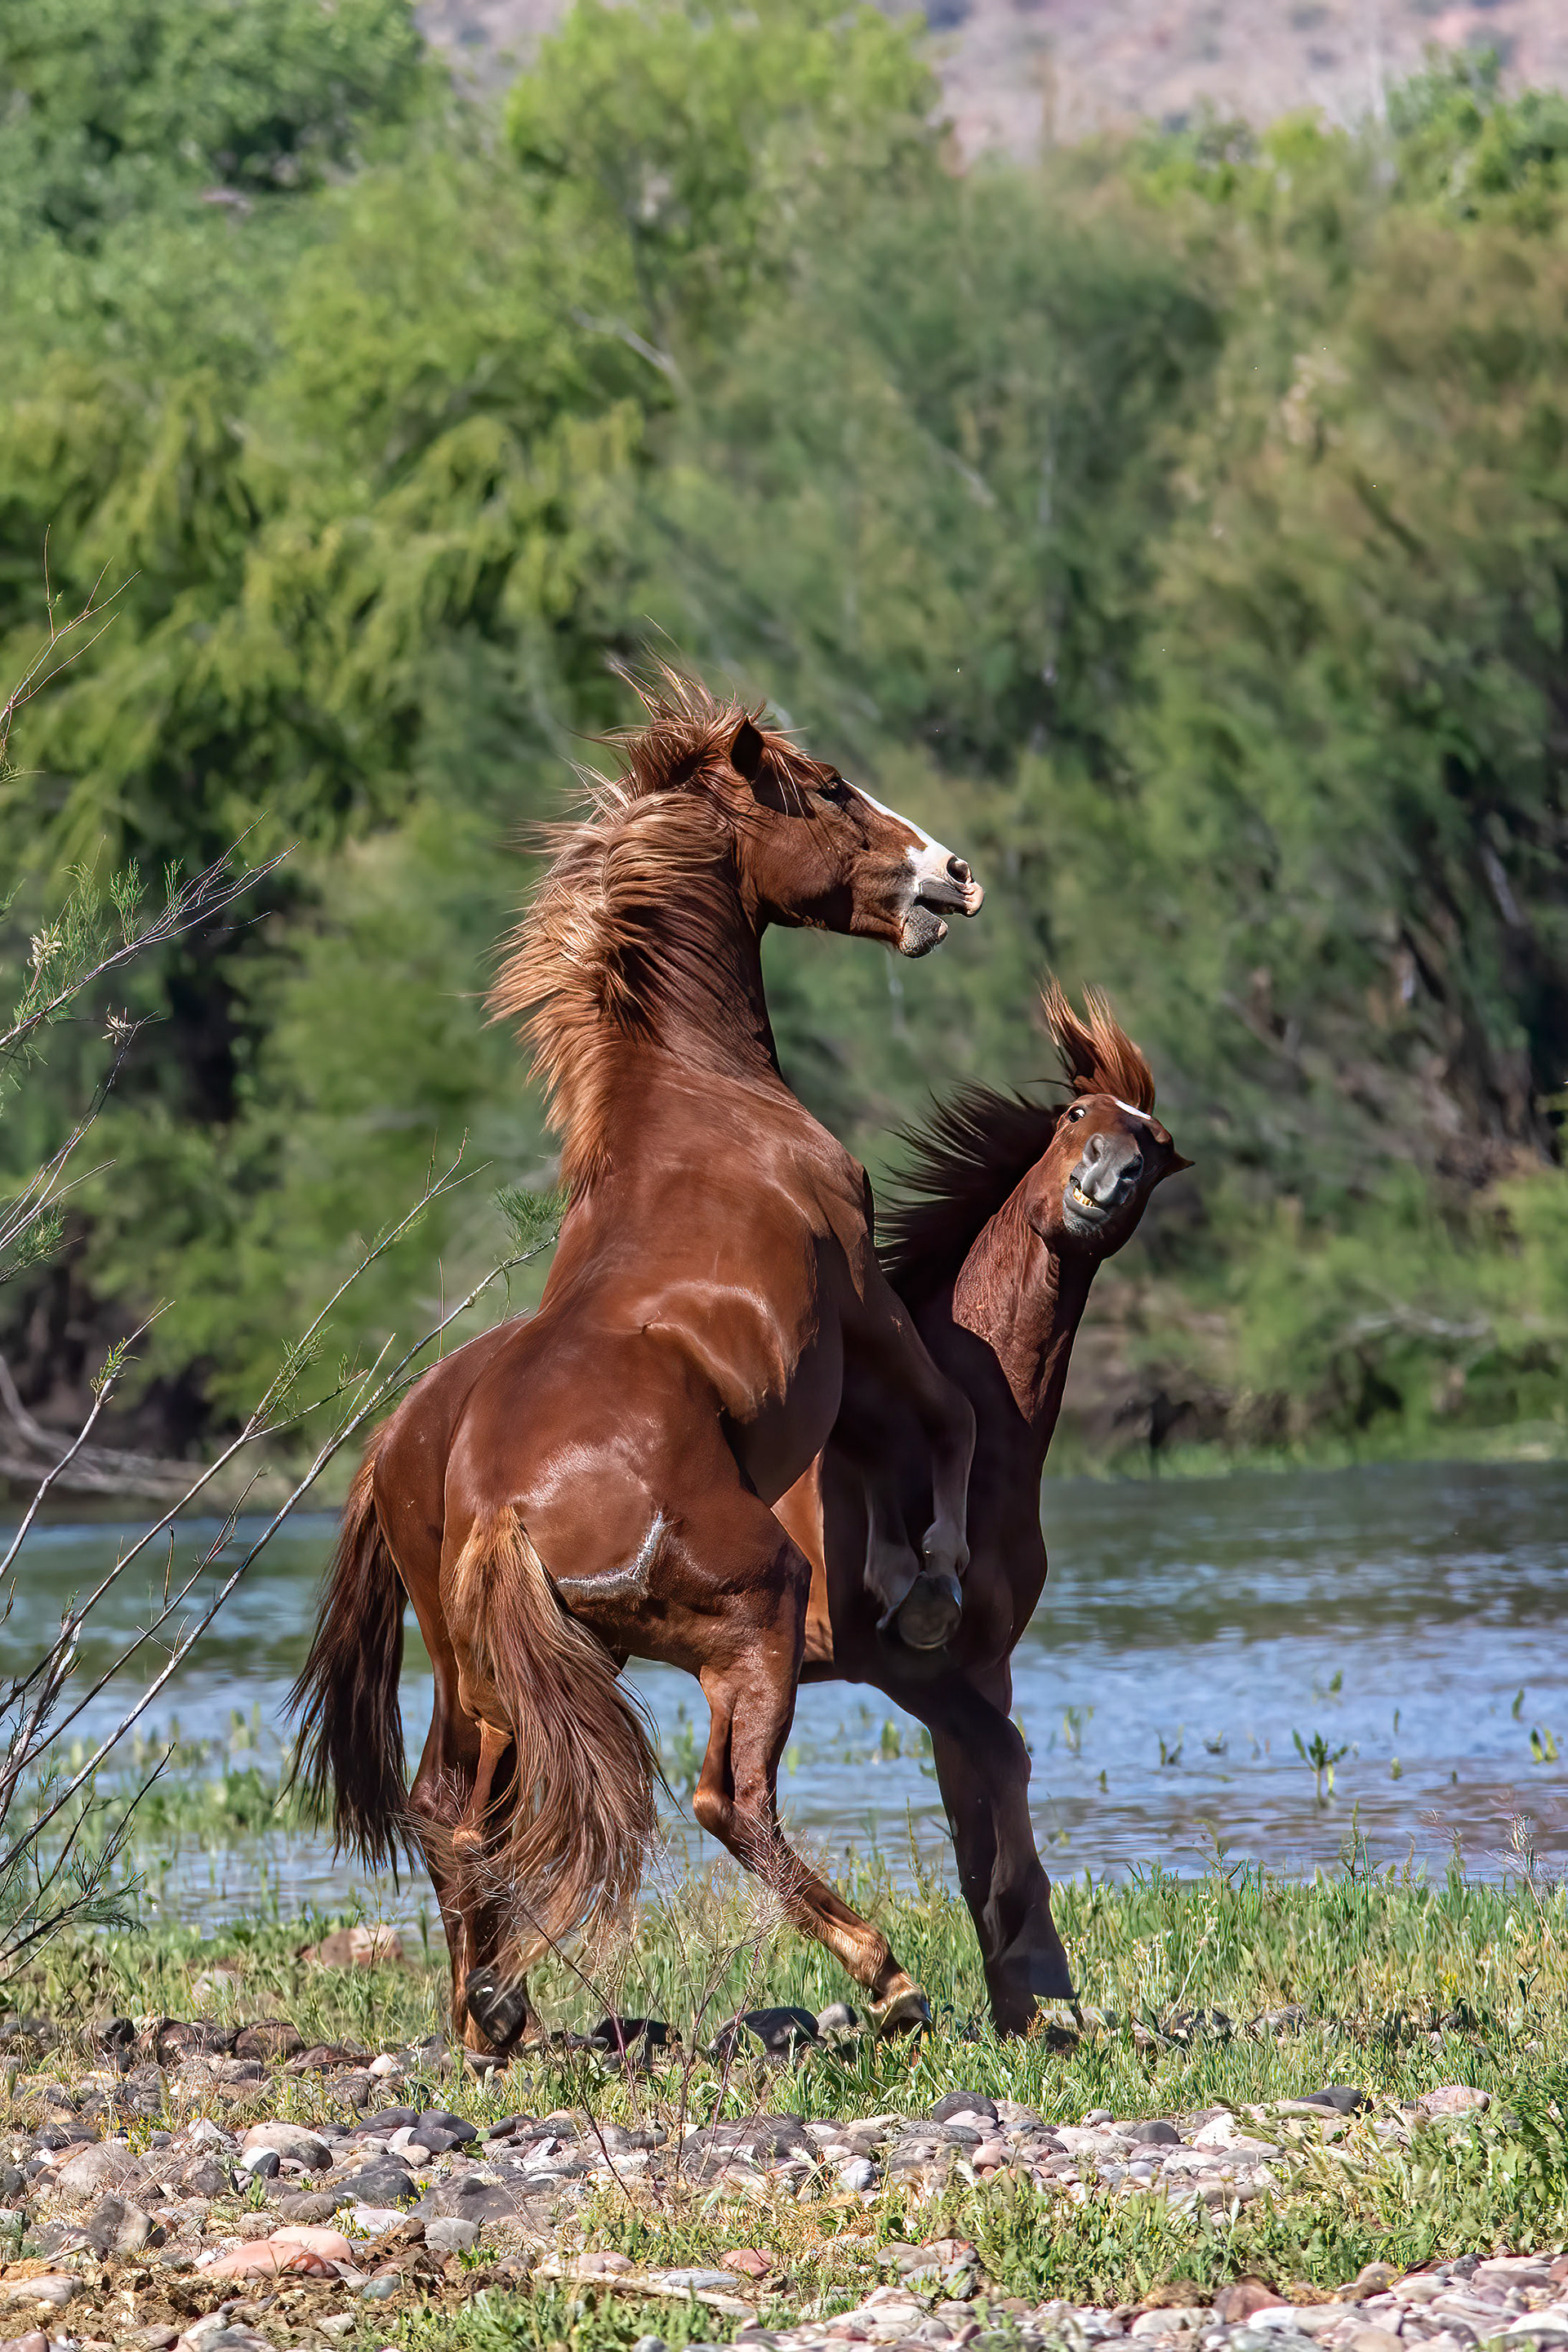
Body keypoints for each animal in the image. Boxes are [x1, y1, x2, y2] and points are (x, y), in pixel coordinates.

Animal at [291, 670, 984, 2056]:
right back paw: (886, 1980)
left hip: (490, 1679)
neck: (699, 1098)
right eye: (826, 785)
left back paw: (489, 2016)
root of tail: (499, 1503)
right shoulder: (860, 1301)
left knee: (454, 1810)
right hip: (749, 1613)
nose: (950, 874)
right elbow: (941, 1424)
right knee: (727, 1801)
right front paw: (928, 1577)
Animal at [776, 982, 1190, 2035]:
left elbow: (980, 1816)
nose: (1109, 1176)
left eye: (1158, 1144)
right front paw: (1036, 1967)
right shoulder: (889, 1658)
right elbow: (1003, 1772)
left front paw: (1020, 2013)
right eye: (1075, 1115)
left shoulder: (982, 1662)